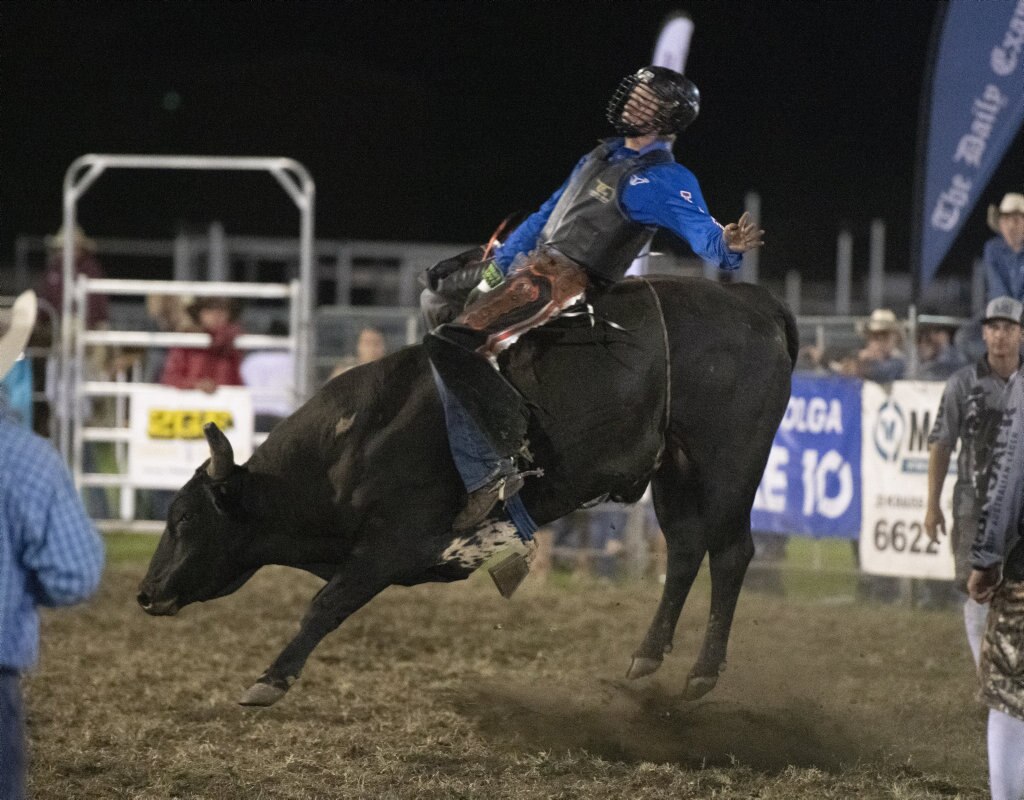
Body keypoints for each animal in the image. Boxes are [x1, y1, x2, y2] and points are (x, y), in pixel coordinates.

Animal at [136, 274, 794, 704]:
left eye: (185, 520)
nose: (145, 593)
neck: (353, 443)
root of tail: (754, 301)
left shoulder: (394, 543)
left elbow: (326, 603)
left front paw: (269, 680)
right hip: (675, 468)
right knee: (684, 551)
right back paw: (647, 657)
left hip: (729, 462)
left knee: (731, 553)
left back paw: (702, 674)